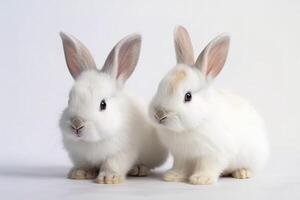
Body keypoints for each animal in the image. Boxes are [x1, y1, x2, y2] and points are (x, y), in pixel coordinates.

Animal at [58, 32, 166, 184]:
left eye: (103, 104)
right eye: (69, 100)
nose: (77, 124)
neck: (91, 141)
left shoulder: (122, 152)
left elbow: (112, 164)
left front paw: (108, 178)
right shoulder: (79, 156)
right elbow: (84, 164)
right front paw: (79, 173)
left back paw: (139, 169)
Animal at [149, 25, 270, 185]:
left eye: (188, 96)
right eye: (159, 86)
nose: (159, 114)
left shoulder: (213, 154)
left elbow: (208, 166)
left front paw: (201, 179)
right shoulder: (181, 155)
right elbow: (181, 167)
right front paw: (172, 176)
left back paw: (242, 173)